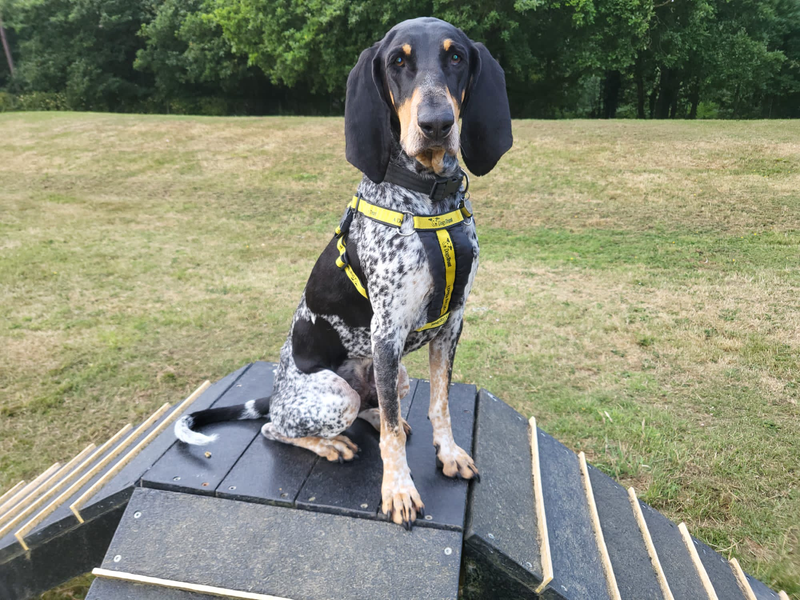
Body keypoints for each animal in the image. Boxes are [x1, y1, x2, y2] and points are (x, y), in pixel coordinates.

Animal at [174, 16, 512, 528]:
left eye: (456, 57)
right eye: (397, 62)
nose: (436, 124)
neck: (428, 196)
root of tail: (275, 394)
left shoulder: (450, 325)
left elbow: (440, 404)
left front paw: (448, 453)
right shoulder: (388, 330)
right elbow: (391, 434)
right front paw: (398, 490)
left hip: (393, 372)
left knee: (381, 405)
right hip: (337, 394)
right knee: (278, 428)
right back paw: (329, 444)